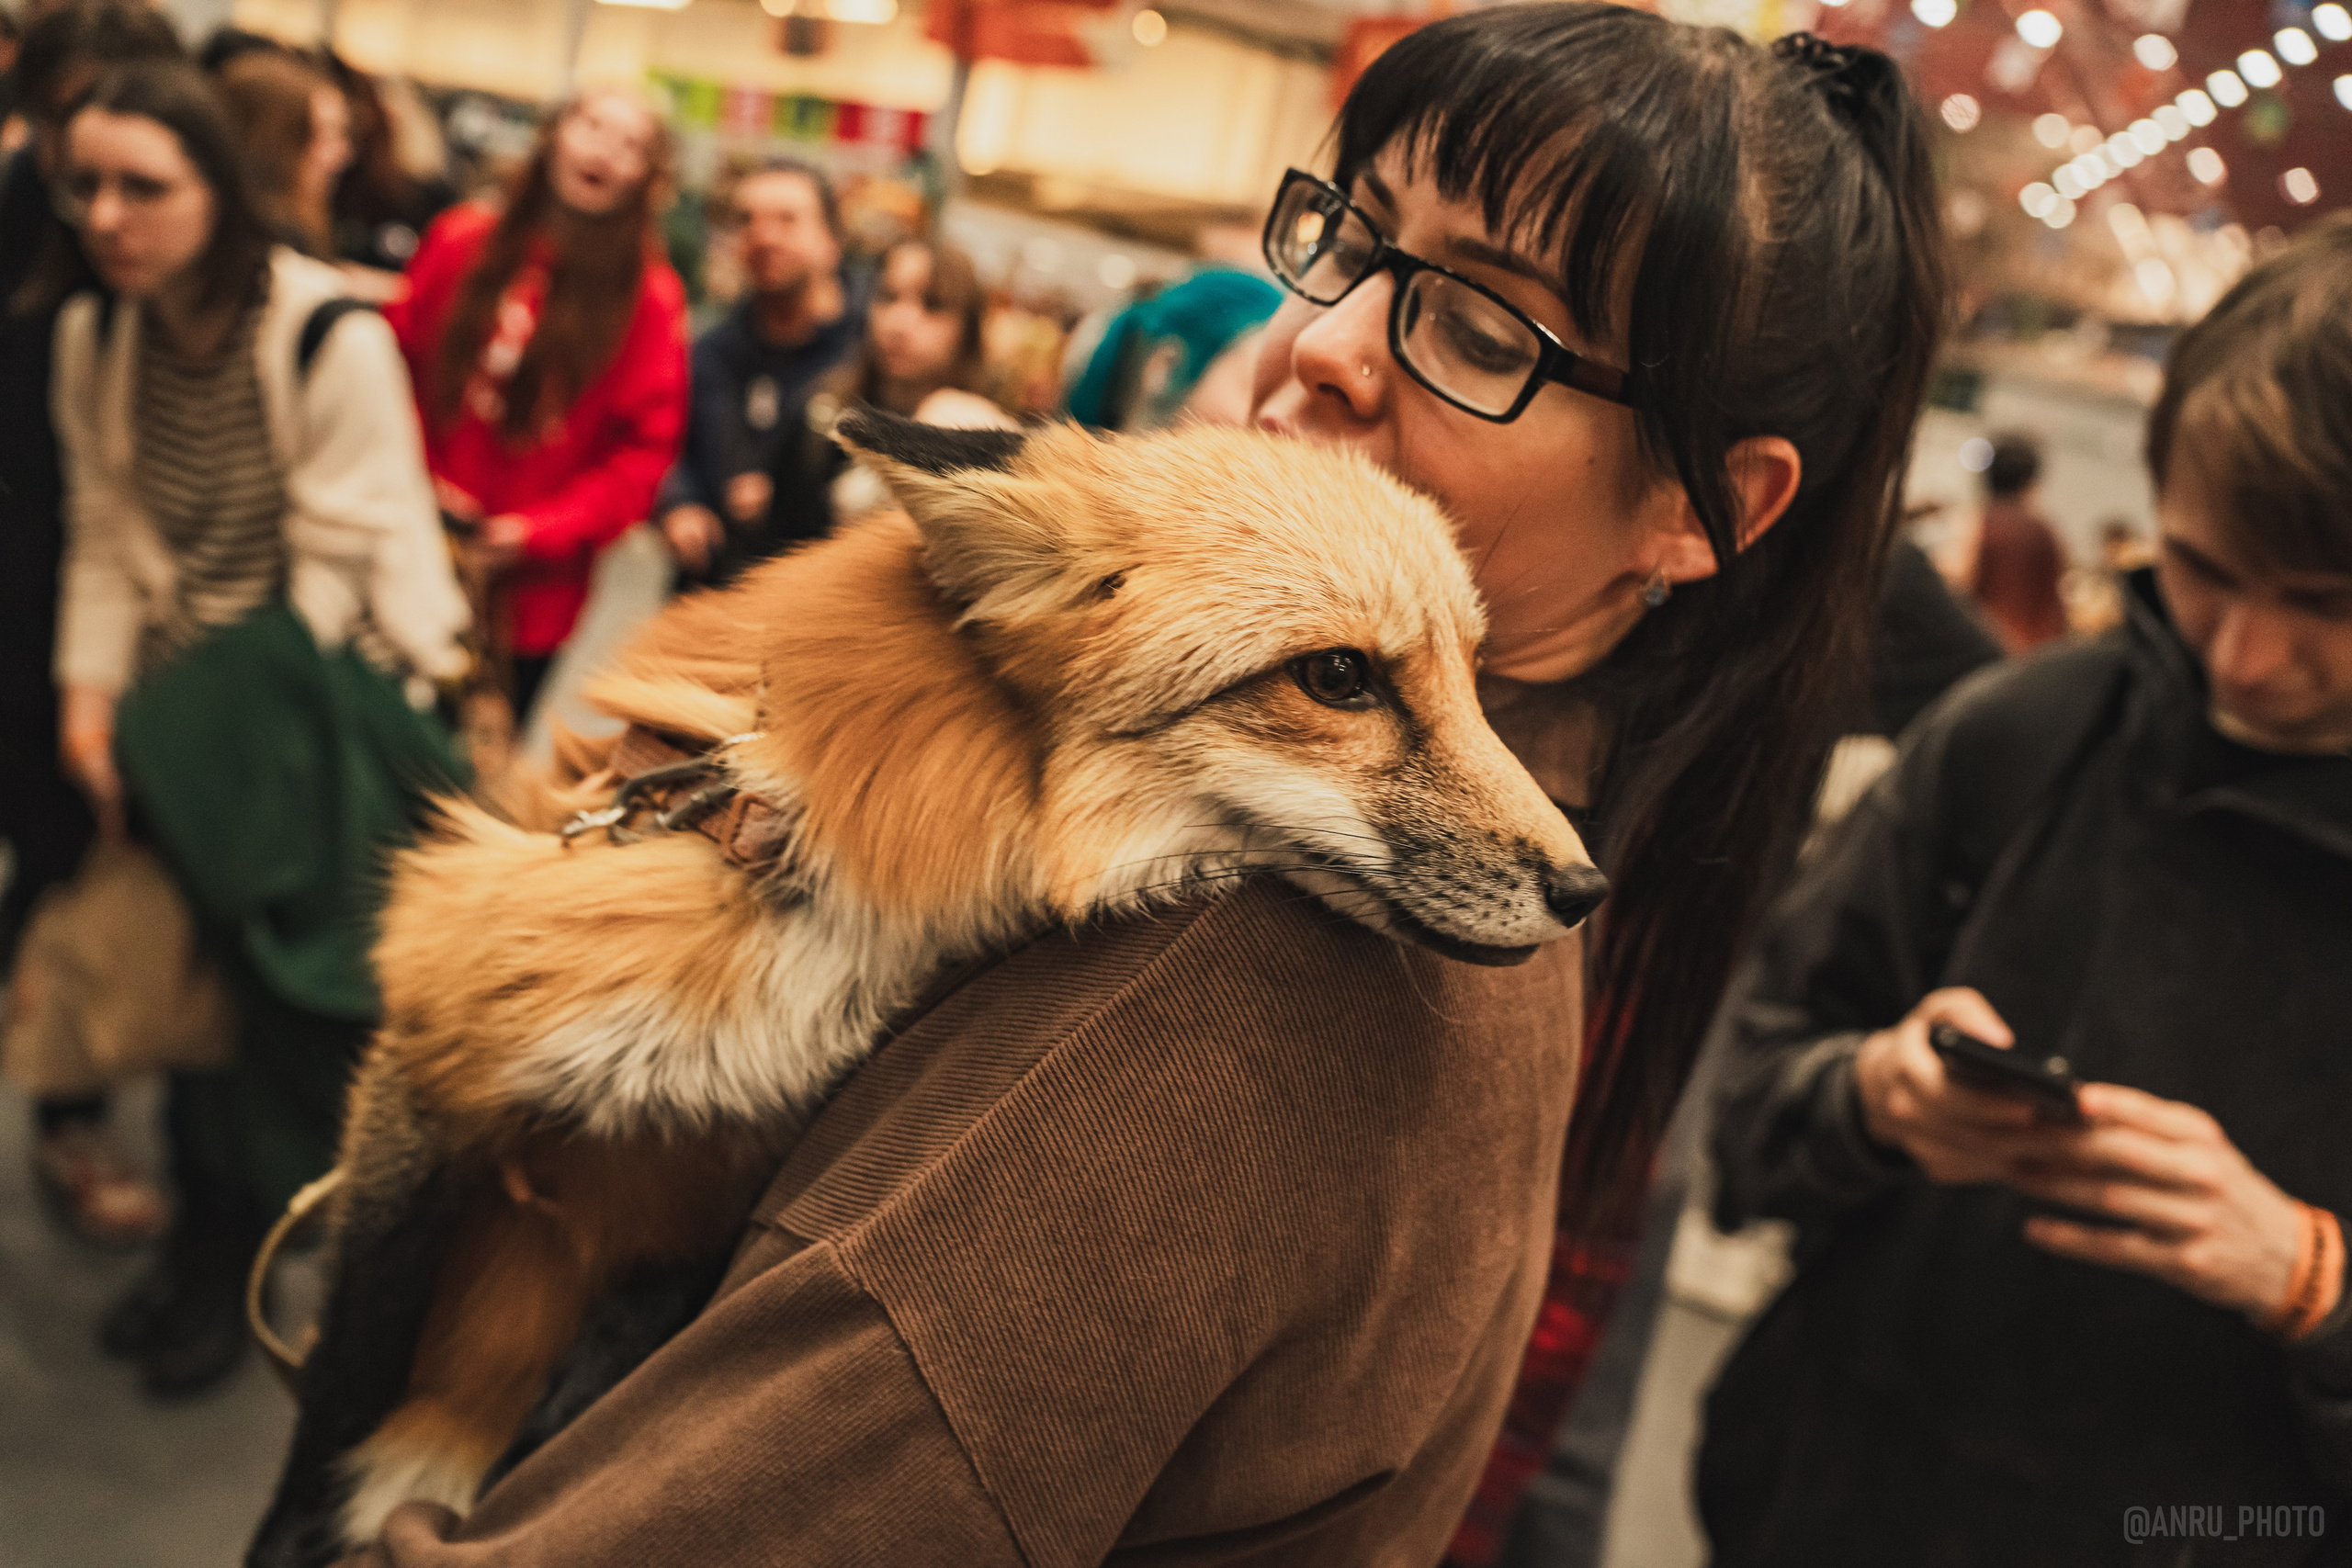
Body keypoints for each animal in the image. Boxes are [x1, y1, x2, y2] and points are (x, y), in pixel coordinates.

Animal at [247, 410, 1607, 1566]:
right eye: (1337, 678)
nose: (1589, 887)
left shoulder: (690, 1214)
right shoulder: (441, 1068)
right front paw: (297, 1532)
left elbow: (581, 1382)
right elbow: (343, 1386)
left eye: (1473, 678)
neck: (798, 876)